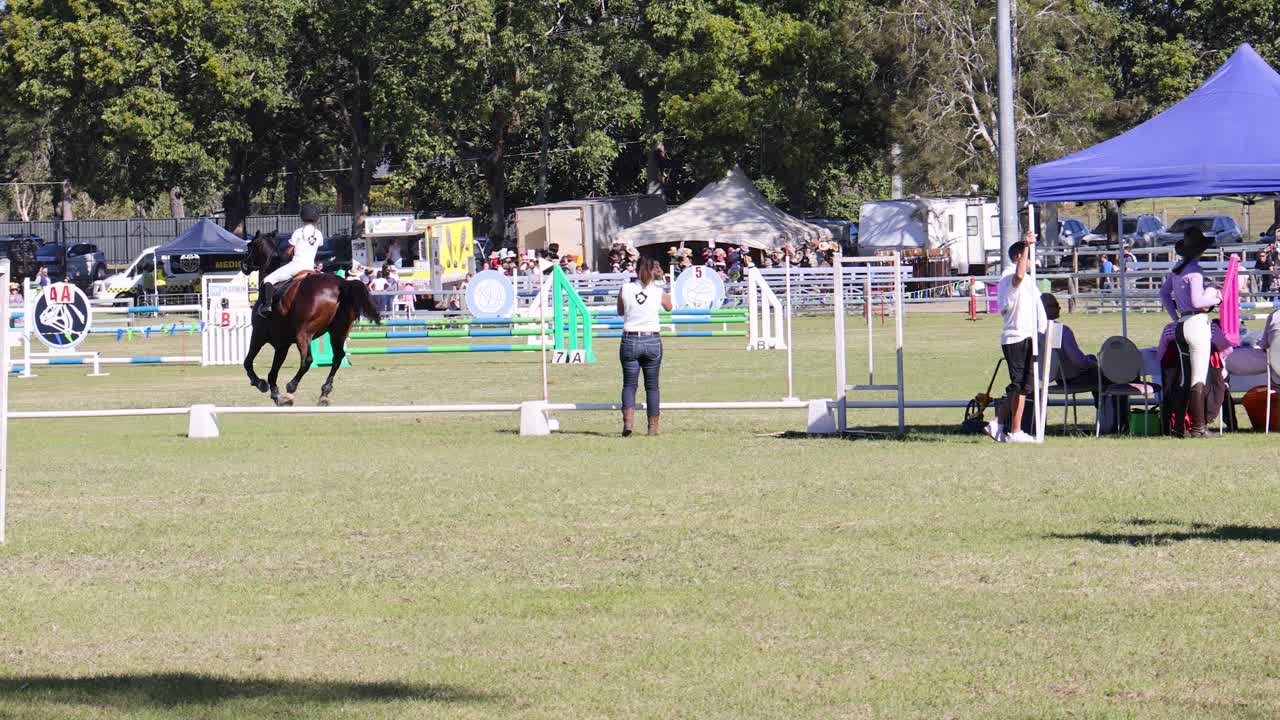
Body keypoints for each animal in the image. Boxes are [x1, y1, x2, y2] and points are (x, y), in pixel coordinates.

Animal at [240, 231, 382, 406]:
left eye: (249, 246)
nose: (244, 265)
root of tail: (341, 284)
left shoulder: (258, 335)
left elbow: (248, 362)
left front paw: (260, 383)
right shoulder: (282, 344)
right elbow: (273, 372)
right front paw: (277, 395)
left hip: (304, 333)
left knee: (307, 360)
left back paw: (292, 385)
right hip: (338, 333)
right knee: (337, 357)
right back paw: (324, 392)